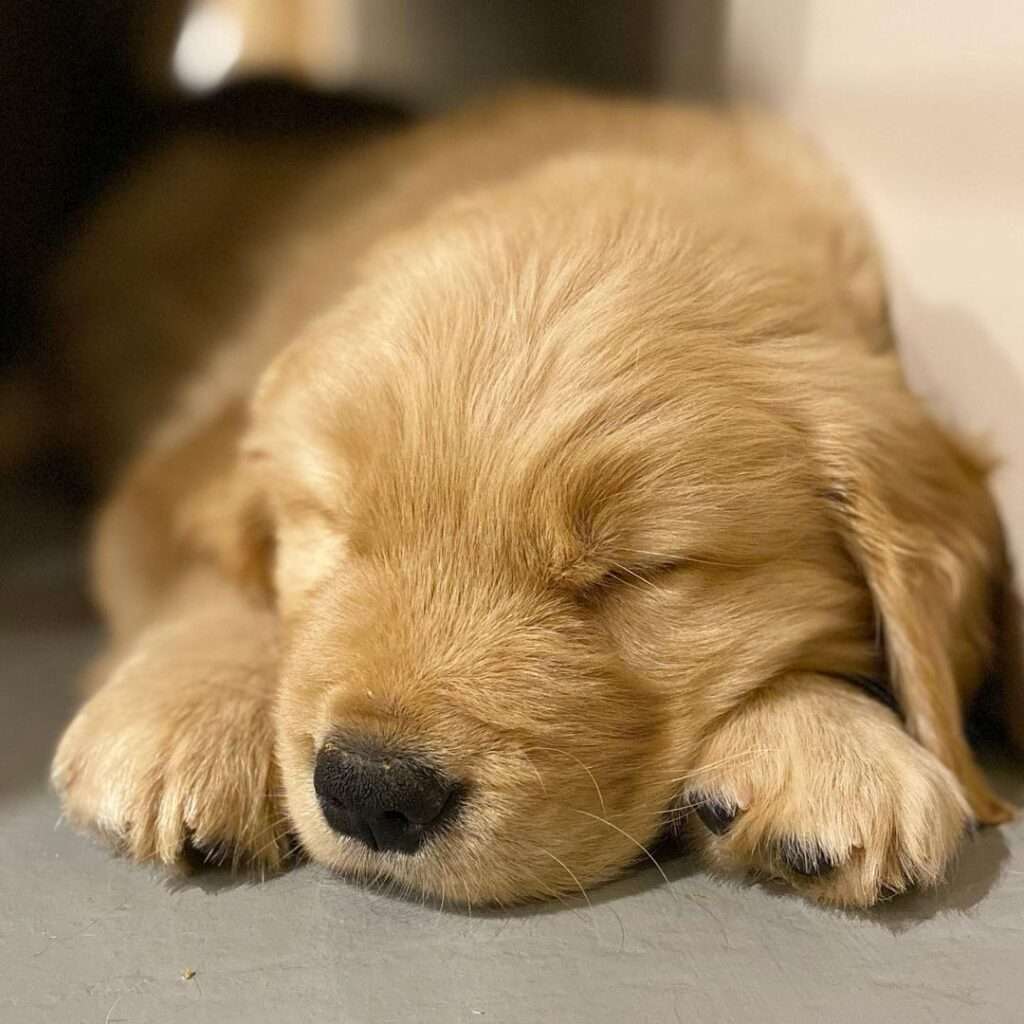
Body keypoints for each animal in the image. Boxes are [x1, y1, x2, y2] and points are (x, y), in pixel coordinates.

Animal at [48, 88, 1015, 905]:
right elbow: (216, 571)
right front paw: (189, 710)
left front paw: (827, 739)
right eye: (335, 528)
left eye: (640, 571)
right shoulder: (173, 467)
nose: (370, 789)